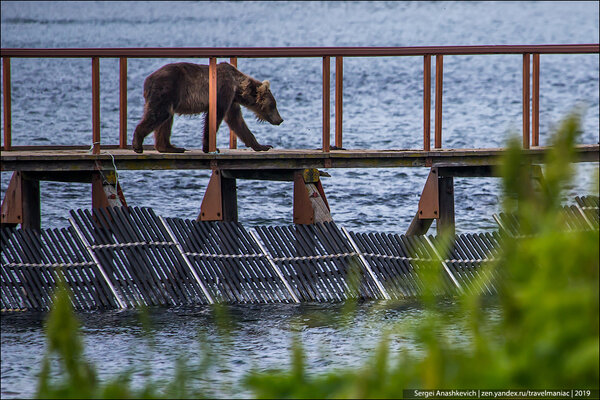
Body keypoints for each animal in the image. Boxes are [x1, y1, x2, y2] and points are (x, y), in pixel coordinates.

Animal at [132, 61, 282, 154]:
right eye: (273, 105)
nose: (280, 120)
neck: (237, 86)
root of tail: (147, 81)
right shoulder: (223, 90)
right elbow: (215, 116)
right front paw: (211, 147)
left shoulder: (232, 100)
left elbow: (237, 121)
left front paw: (263, 146)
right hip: (167, 89)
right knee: (159, 114)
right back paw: (138, 144)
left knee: (166, 120)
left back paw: (171, 147)